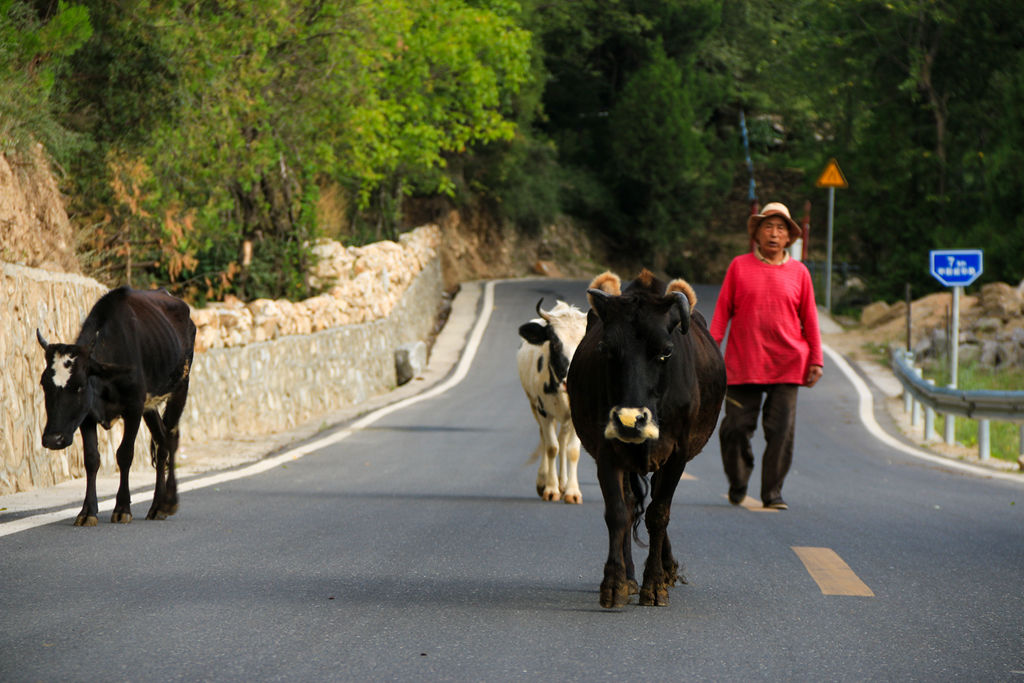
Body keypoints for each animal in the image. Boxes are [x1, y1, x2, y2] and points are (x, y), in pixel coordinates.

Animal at [37, 286, 196, 528]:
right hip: (151, 405)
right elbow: (92, 459)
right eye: (44, 384)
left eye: (80, 385)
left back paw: (167, 502)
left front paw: (122, 508)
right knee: (160, 442)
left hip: (179, 389)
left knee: (171, 438)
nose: (53, 439)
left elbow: (125, 454)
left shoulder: (134, 408)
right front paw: (87, 511)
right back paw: (156, 506)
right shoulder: (87, 416)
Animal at [516, 296, 589, 501]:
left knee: (563, 440)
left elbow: (572, 451)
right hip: (534, 406)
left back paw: (563, 482)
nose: (567, 382)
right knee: (546, 438)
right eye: (555, 343)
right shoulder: (544, 411)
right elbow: (551, 447)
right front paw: (550, 488)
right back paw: (545, 481)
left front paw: (572, 491)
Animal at [569, 270, 729, 610]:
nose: (630, 420)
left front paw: (654, 584)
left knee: (656, 503)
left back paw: (665, 571)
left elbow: (659, 514)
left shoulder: (678, 454)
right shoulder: (607, 450)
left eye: (665, 351)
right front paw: (615, 583)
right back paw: (631, 577)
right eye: (606, 350)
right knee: (632, 505)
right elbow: (618, 512)